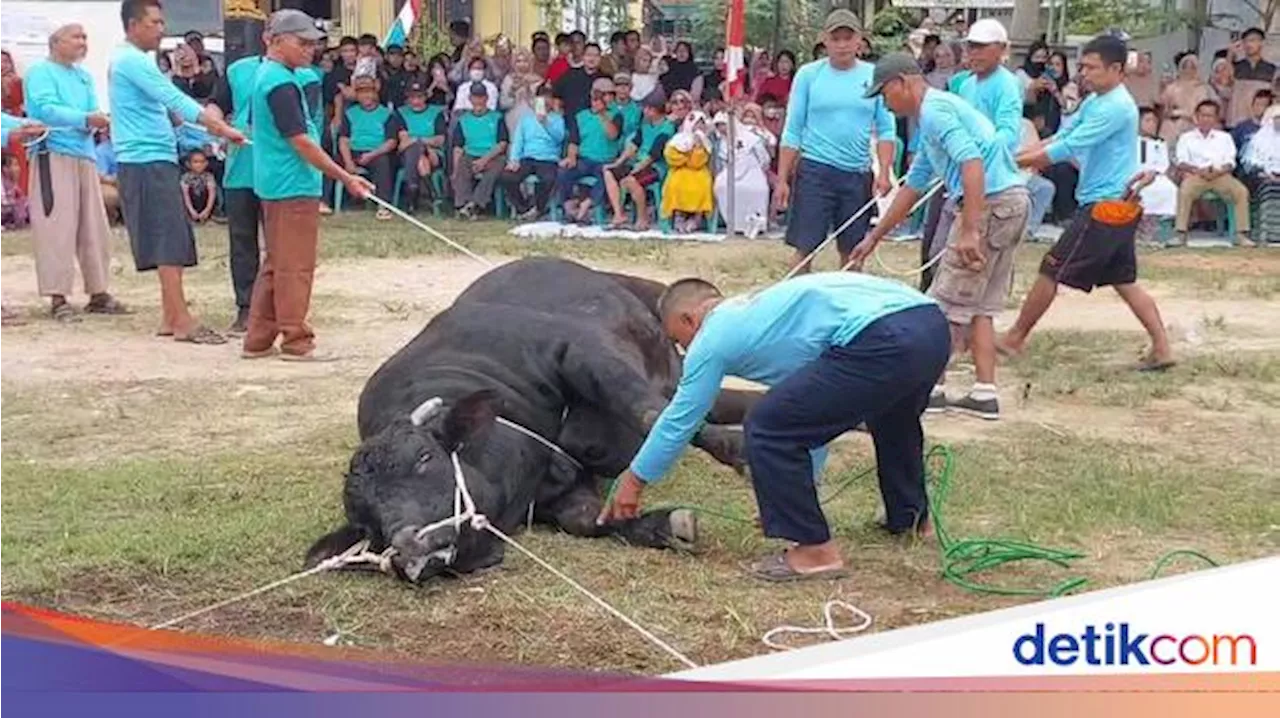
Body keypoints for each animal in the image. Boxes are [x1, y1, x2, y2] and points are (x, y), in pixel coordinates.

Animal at [305, 257, 757, 583]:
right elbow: (588, 520)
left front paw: (737, 451)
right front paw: (667, 524)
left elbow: (648, 410)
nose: (409, 546)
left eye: (423, 458)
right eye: (367, 519)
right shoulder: (562, 498)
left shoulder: (578, 352)